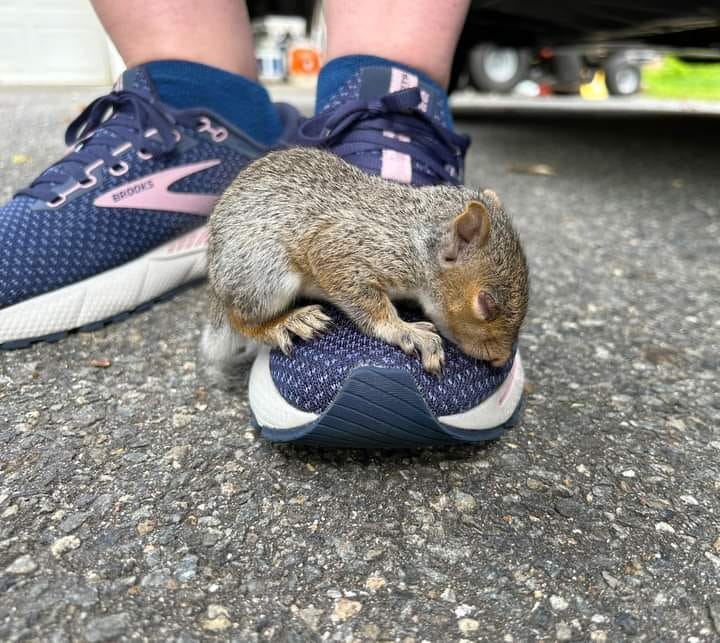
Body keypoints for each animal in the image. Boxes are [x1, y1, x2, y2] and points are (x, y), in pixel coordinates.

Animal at [202, 147, 529, 375]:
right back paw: (286, 323)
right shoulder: (345, 249)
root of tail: (217, 283)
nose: (501, 359)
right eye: (486, 303)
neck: (414, 240)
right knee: (240, 318)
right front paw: (406, 331)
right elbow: (369, 305)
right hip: (266, 275)